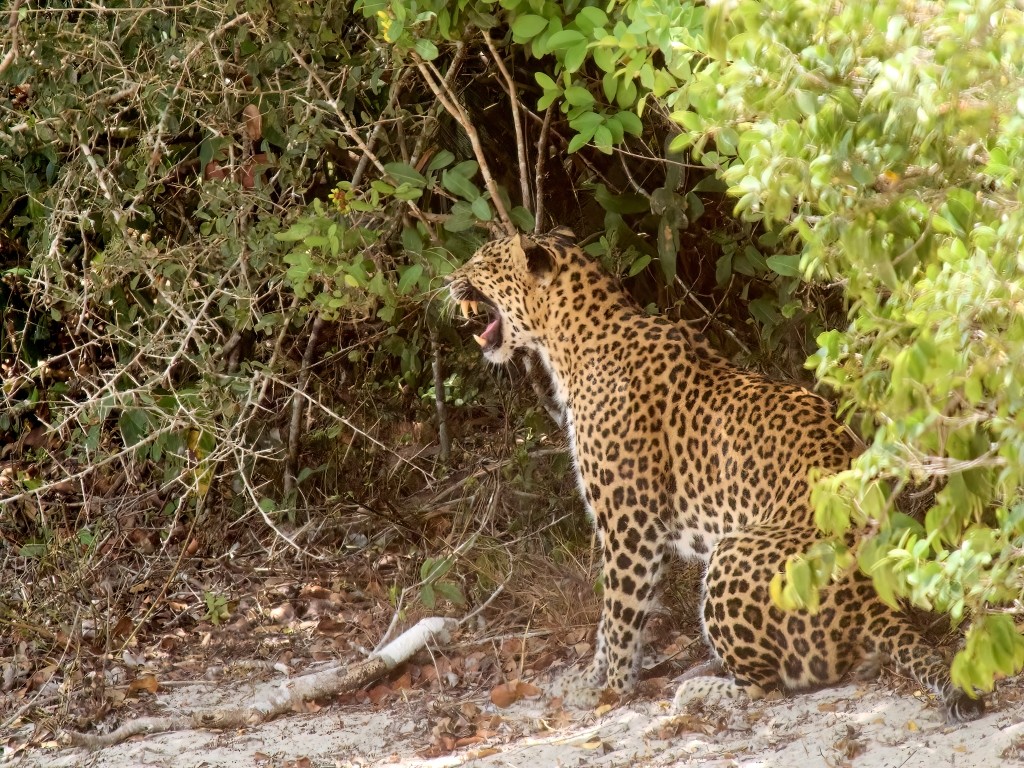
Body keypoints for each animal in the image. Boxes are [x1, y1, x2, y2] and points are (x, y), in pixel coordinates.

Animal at [446, 228, 985, 724]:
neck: (569, 342)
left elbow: (618, 612)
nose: (449, 280)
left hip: (732, 554)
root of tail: (873, 603)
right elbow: (615, 617)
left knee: (769, 686)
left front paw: (609, 690)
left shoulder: (630, 523)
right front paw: (591, 677)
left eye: (481, 261)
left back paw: (698, 690)